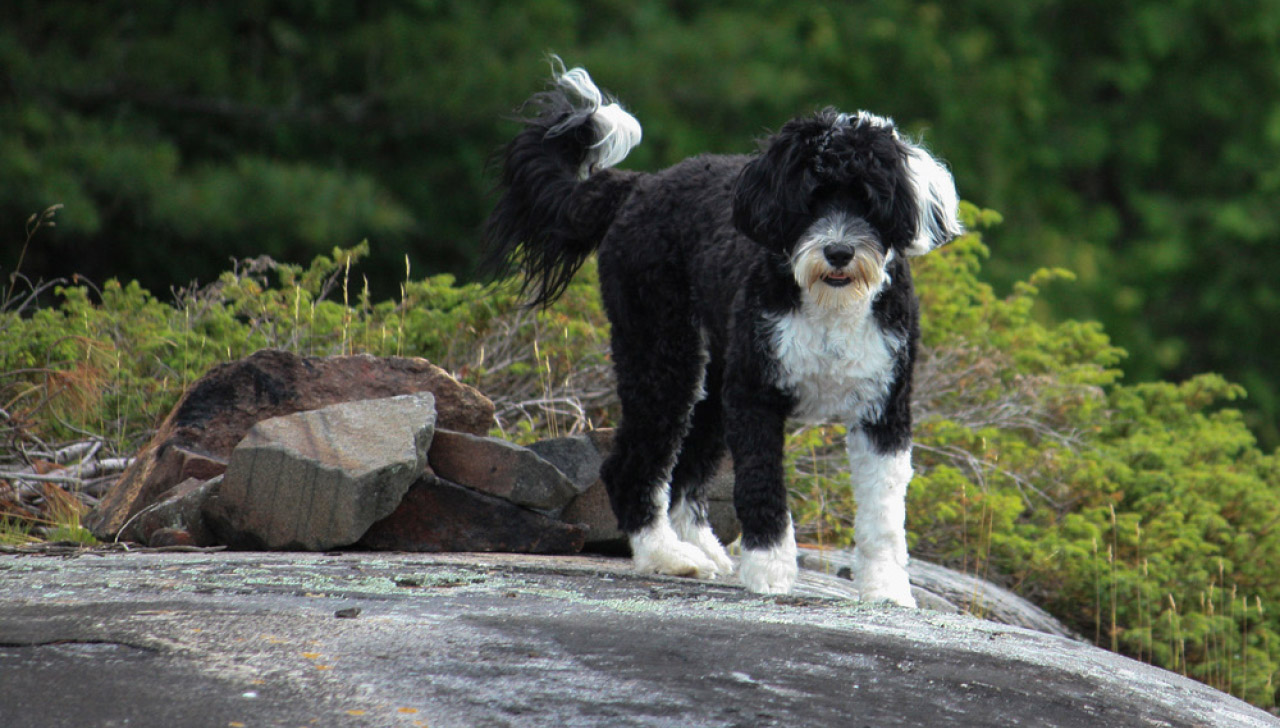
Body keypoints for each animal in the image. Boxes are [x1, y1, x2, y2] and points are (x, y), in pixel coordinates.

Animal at [486, 61, 962, 601]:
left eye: (868, 201)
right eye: (808, 200)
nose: (839, 252)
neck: (828, 306)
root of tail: (639, 185)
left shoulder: (884, 409)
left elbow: (883, 514)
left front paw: (886, 590)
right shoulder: (756, 395)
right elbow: (761, 485)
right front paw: (771, 571)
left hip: (712, 381)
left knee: (686, 470)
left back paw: (703, 548)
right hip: (662, 353)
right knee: (631, 466)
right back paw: (666, 555)